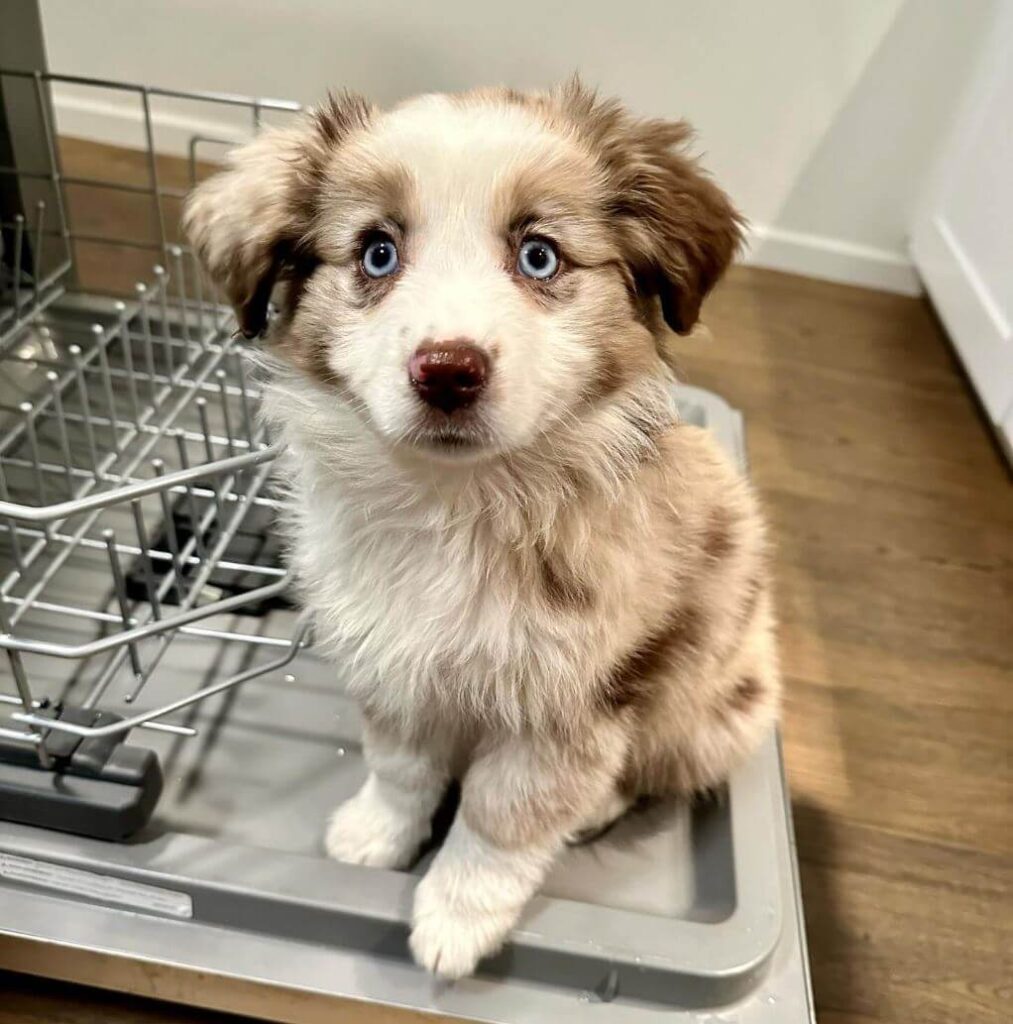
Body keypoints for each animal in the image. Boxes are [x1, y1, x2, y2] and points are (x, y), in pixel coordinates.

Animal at [183, 79, 782, 974]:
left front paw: (457, 920)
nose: (448, 370)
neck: (455, 505)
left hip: (709, 706)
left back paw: (596, 806)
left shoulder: (568, 703)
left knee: (649, 772)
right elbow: (398, 764)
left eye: (538, 256)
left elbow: (504, 816)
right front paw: (376, 836)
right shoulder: (389, 656)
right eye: (376, 253)